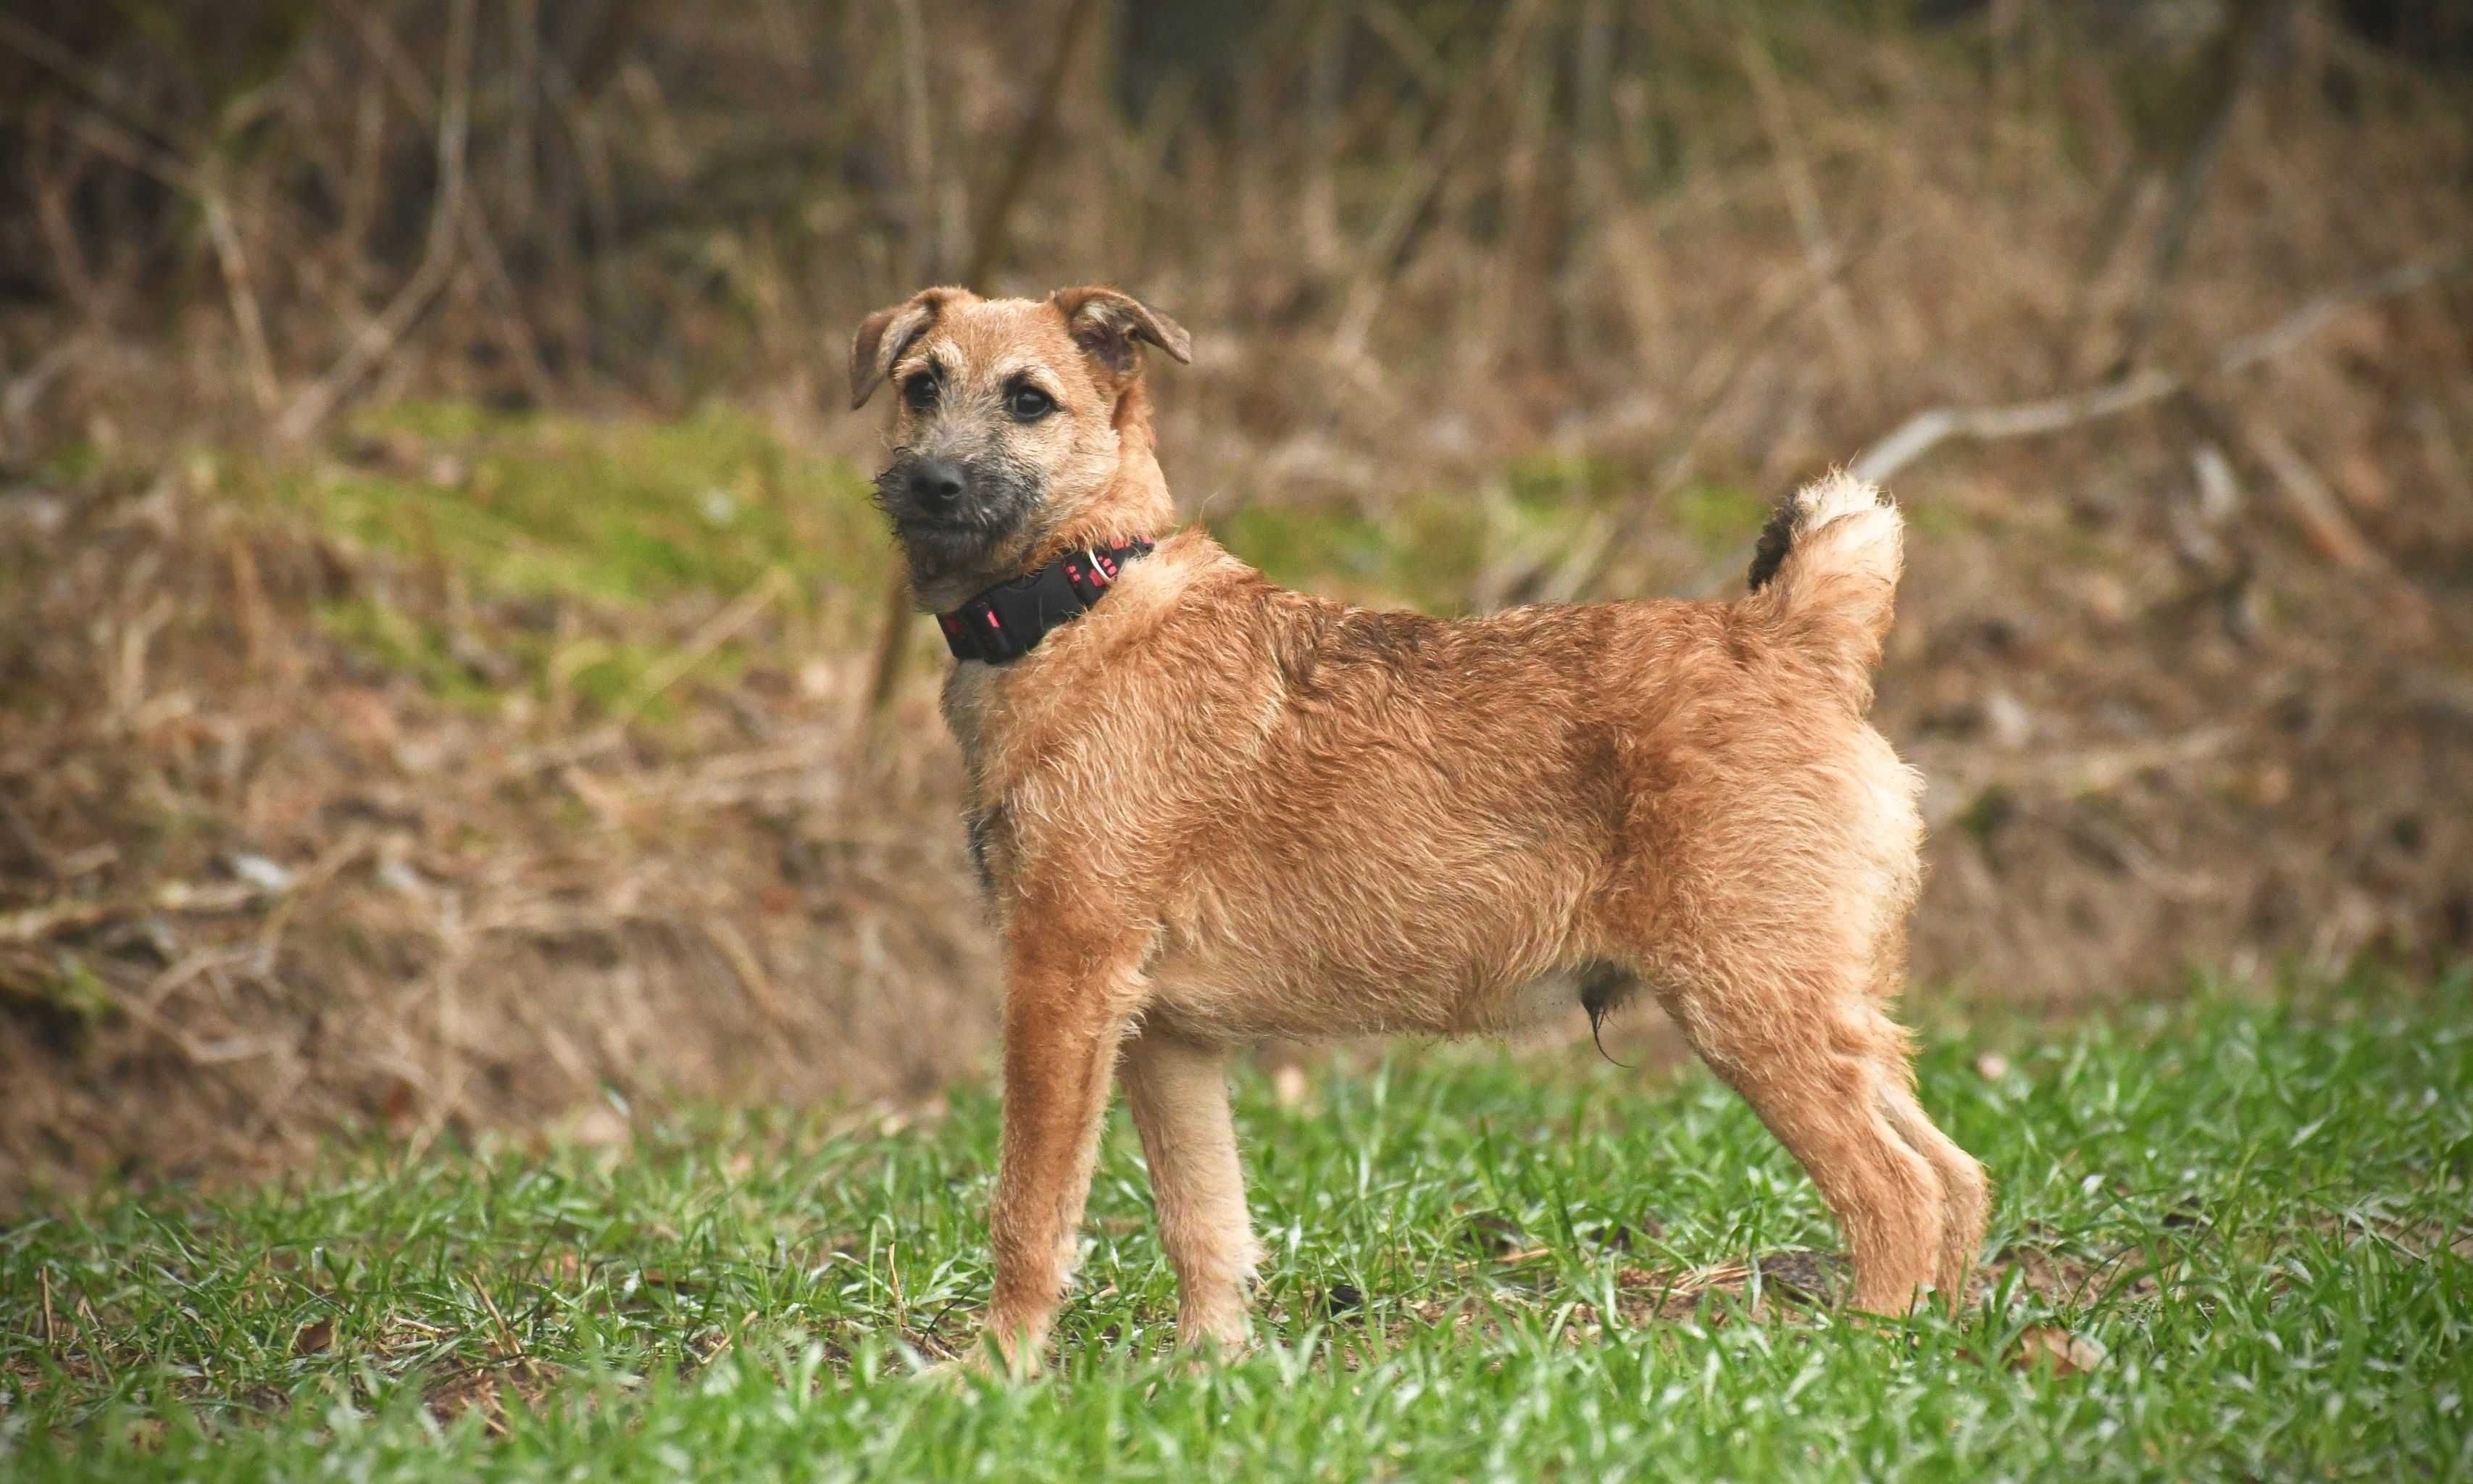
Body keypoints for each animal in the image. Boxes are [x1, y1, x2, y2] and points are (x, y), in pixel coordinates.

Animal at [851, 284, 1988, 1375]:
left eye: (1029, 399)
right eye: (920, 385)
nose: (932, 483)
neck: (1079, 599)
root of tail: (1789, 633)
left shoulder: (1063, 980)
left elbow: (1030, 1208)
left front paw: (995, 1368)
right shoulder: (1168, 1036)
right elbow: (1204, 1221)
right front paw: (1210, 1370)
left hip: (1750, 1006)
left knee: (1894, 1192)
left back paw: (1859, 1350)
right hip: (1830, 1007)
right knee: (1955, 1174)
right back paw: (1933, 1342)